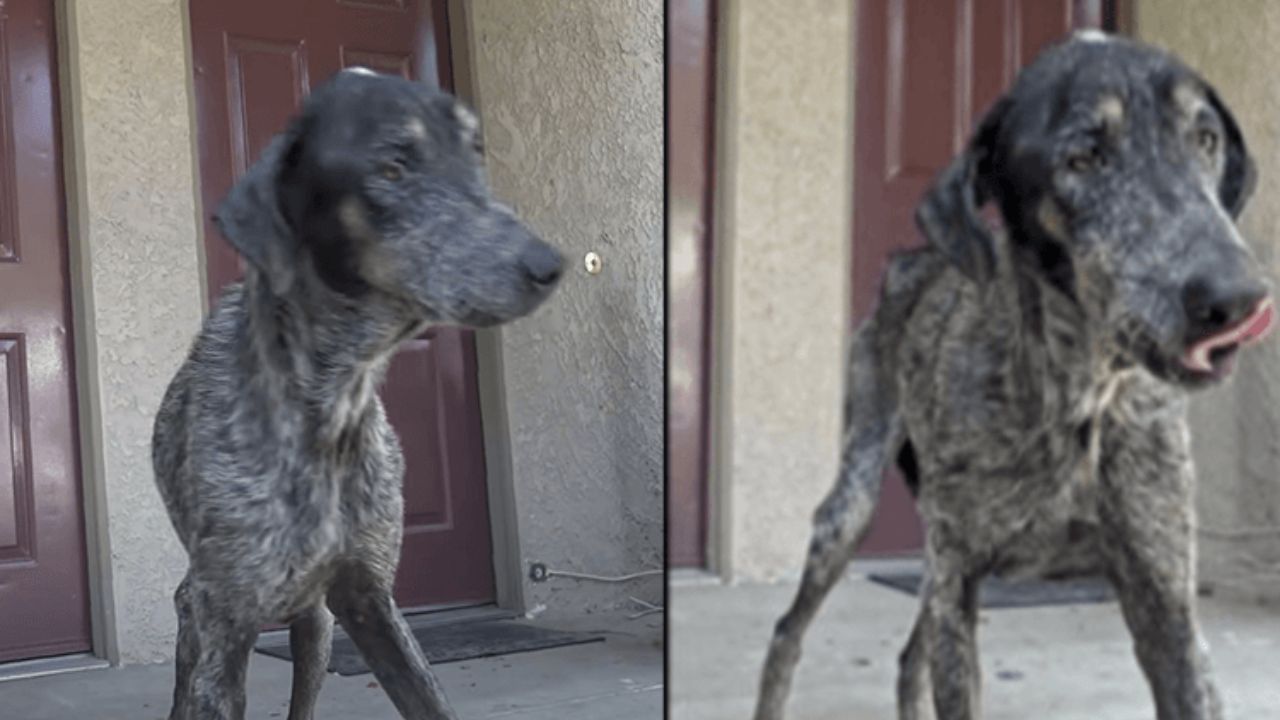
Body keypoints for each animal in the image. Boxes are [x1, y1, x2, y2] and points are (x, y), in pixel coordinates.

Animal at [149, 64, 560, 712]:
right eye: (392, 168)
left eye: (474, 153)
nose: (549, 265)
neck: (330, 401)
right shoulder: (223, 625)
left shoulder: (370, 601)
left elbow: (427, 699)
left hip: (316, 626)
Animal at [752, 29, 1274, 717]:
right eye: (1083, 157)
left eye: (1206, 138)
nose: (1238, 298)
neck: (1081, 391)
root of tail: (909, 262)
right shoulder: (960, 579)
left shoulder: (1168, 606)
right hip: (856, 511)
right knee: (790, 630)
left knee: (908, 656)